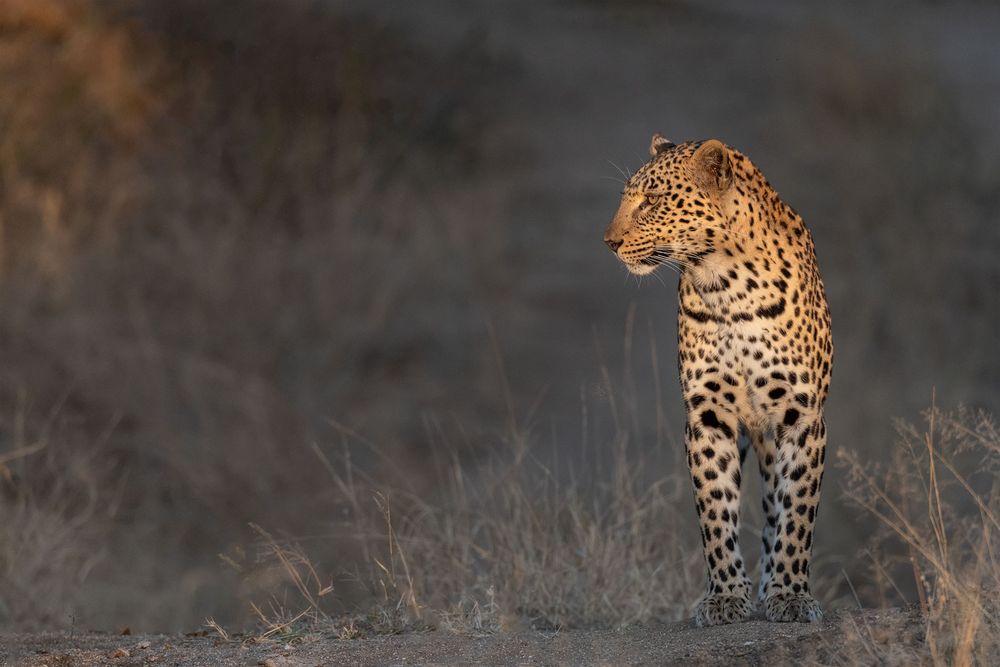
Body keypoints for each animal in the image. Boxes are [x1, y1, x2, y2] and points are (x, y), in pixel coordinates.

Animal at [600, 136, 836, 628]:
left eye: (651, 200)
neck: (728, 285)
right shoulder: (708, 415)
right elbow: (714, 509)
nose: (609, 242)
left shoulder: (801, 415)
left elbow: (797, 511)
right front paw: (726, 595)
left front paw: (790, 593)